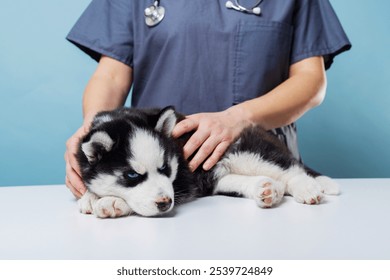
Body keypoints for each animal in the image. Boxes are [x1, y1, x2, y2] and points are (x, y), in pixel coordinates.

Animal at [76, 106, 338, 218]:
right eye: (132, 175)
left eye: (165, 168)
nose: (164, 203)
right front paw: (90, 197)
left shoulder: (183, 181)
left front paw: (112, 202)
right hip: (216, 173)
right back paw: (266, 189)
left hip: (245, 151)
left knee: (291, 170)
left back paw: (308, 188)